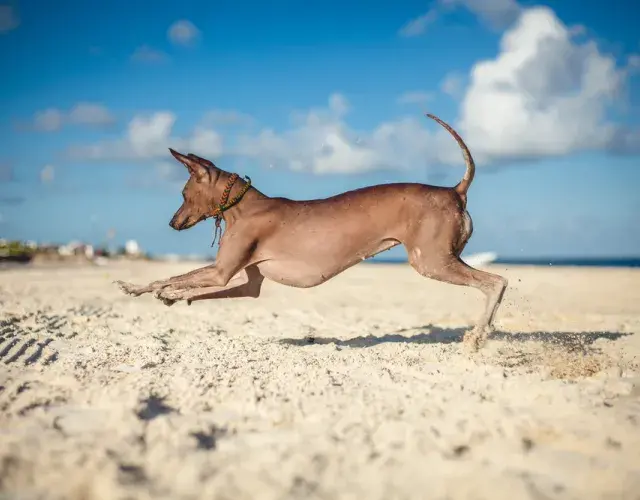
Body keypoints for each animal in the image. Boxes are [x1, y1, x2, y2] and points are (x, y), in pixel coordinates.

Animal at [114, 114, 504, 350]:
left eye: (183, 194)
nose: (172, 222)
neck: (245, 205)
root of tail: (455, 190)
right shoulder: (245, 283)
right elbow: (195, 287)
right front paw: (171, 296)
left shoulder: (220, 271)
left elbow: (170, 277)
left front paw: (151, 289)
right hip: (440, 259)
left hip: (431, 261)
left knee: (496, 282)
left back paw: (477, 337)